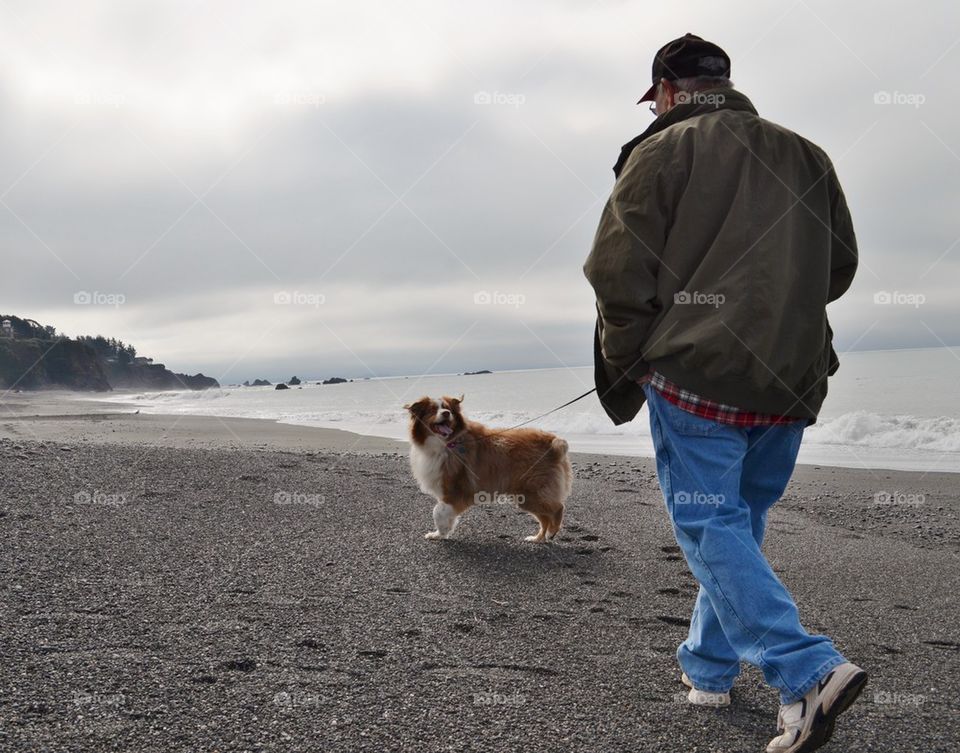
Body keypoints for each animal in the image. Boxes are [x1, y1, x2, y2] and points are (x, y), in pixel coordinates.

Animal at [404, 394, 568, 540]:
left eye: (448, 408)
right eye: (432, 409)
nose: (446, 413)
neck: (446, 443)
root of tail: (552, 442)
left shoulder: (455, 491)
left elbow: (437, 511)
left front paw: (439, 533)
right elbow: (443, 513)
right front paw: (441, 534)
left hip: (531, 492)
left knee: (558, 508)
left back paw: (551, 532)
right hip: (527, 496)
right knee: (545, 518)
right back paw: (537, 538)